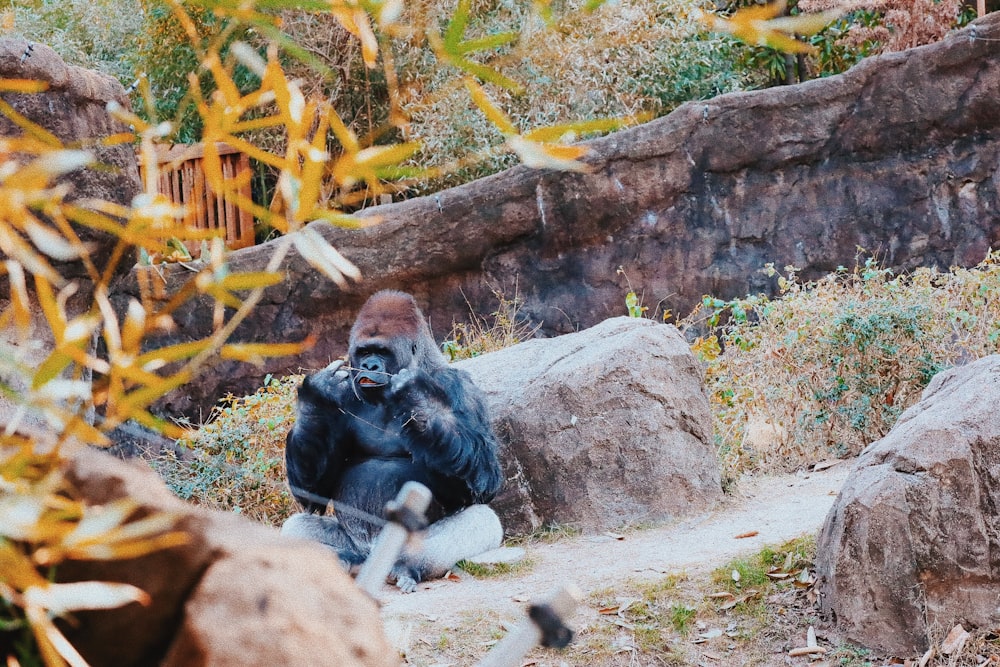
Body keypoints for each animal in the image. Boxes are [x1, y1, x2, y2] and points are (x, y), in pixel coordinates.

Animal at [282, 290, 504, 592]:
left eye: (382, 352)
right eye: (364, 352)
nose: (369, 366)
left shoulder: (461, 388)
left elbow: (483, 480)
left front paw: (416, 396)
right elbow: (313, 490)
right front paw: (317, 396)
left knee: (481, 520)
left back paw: (407, 568)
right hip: (359, 548)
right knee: (296, 527)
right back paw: (340, 562)